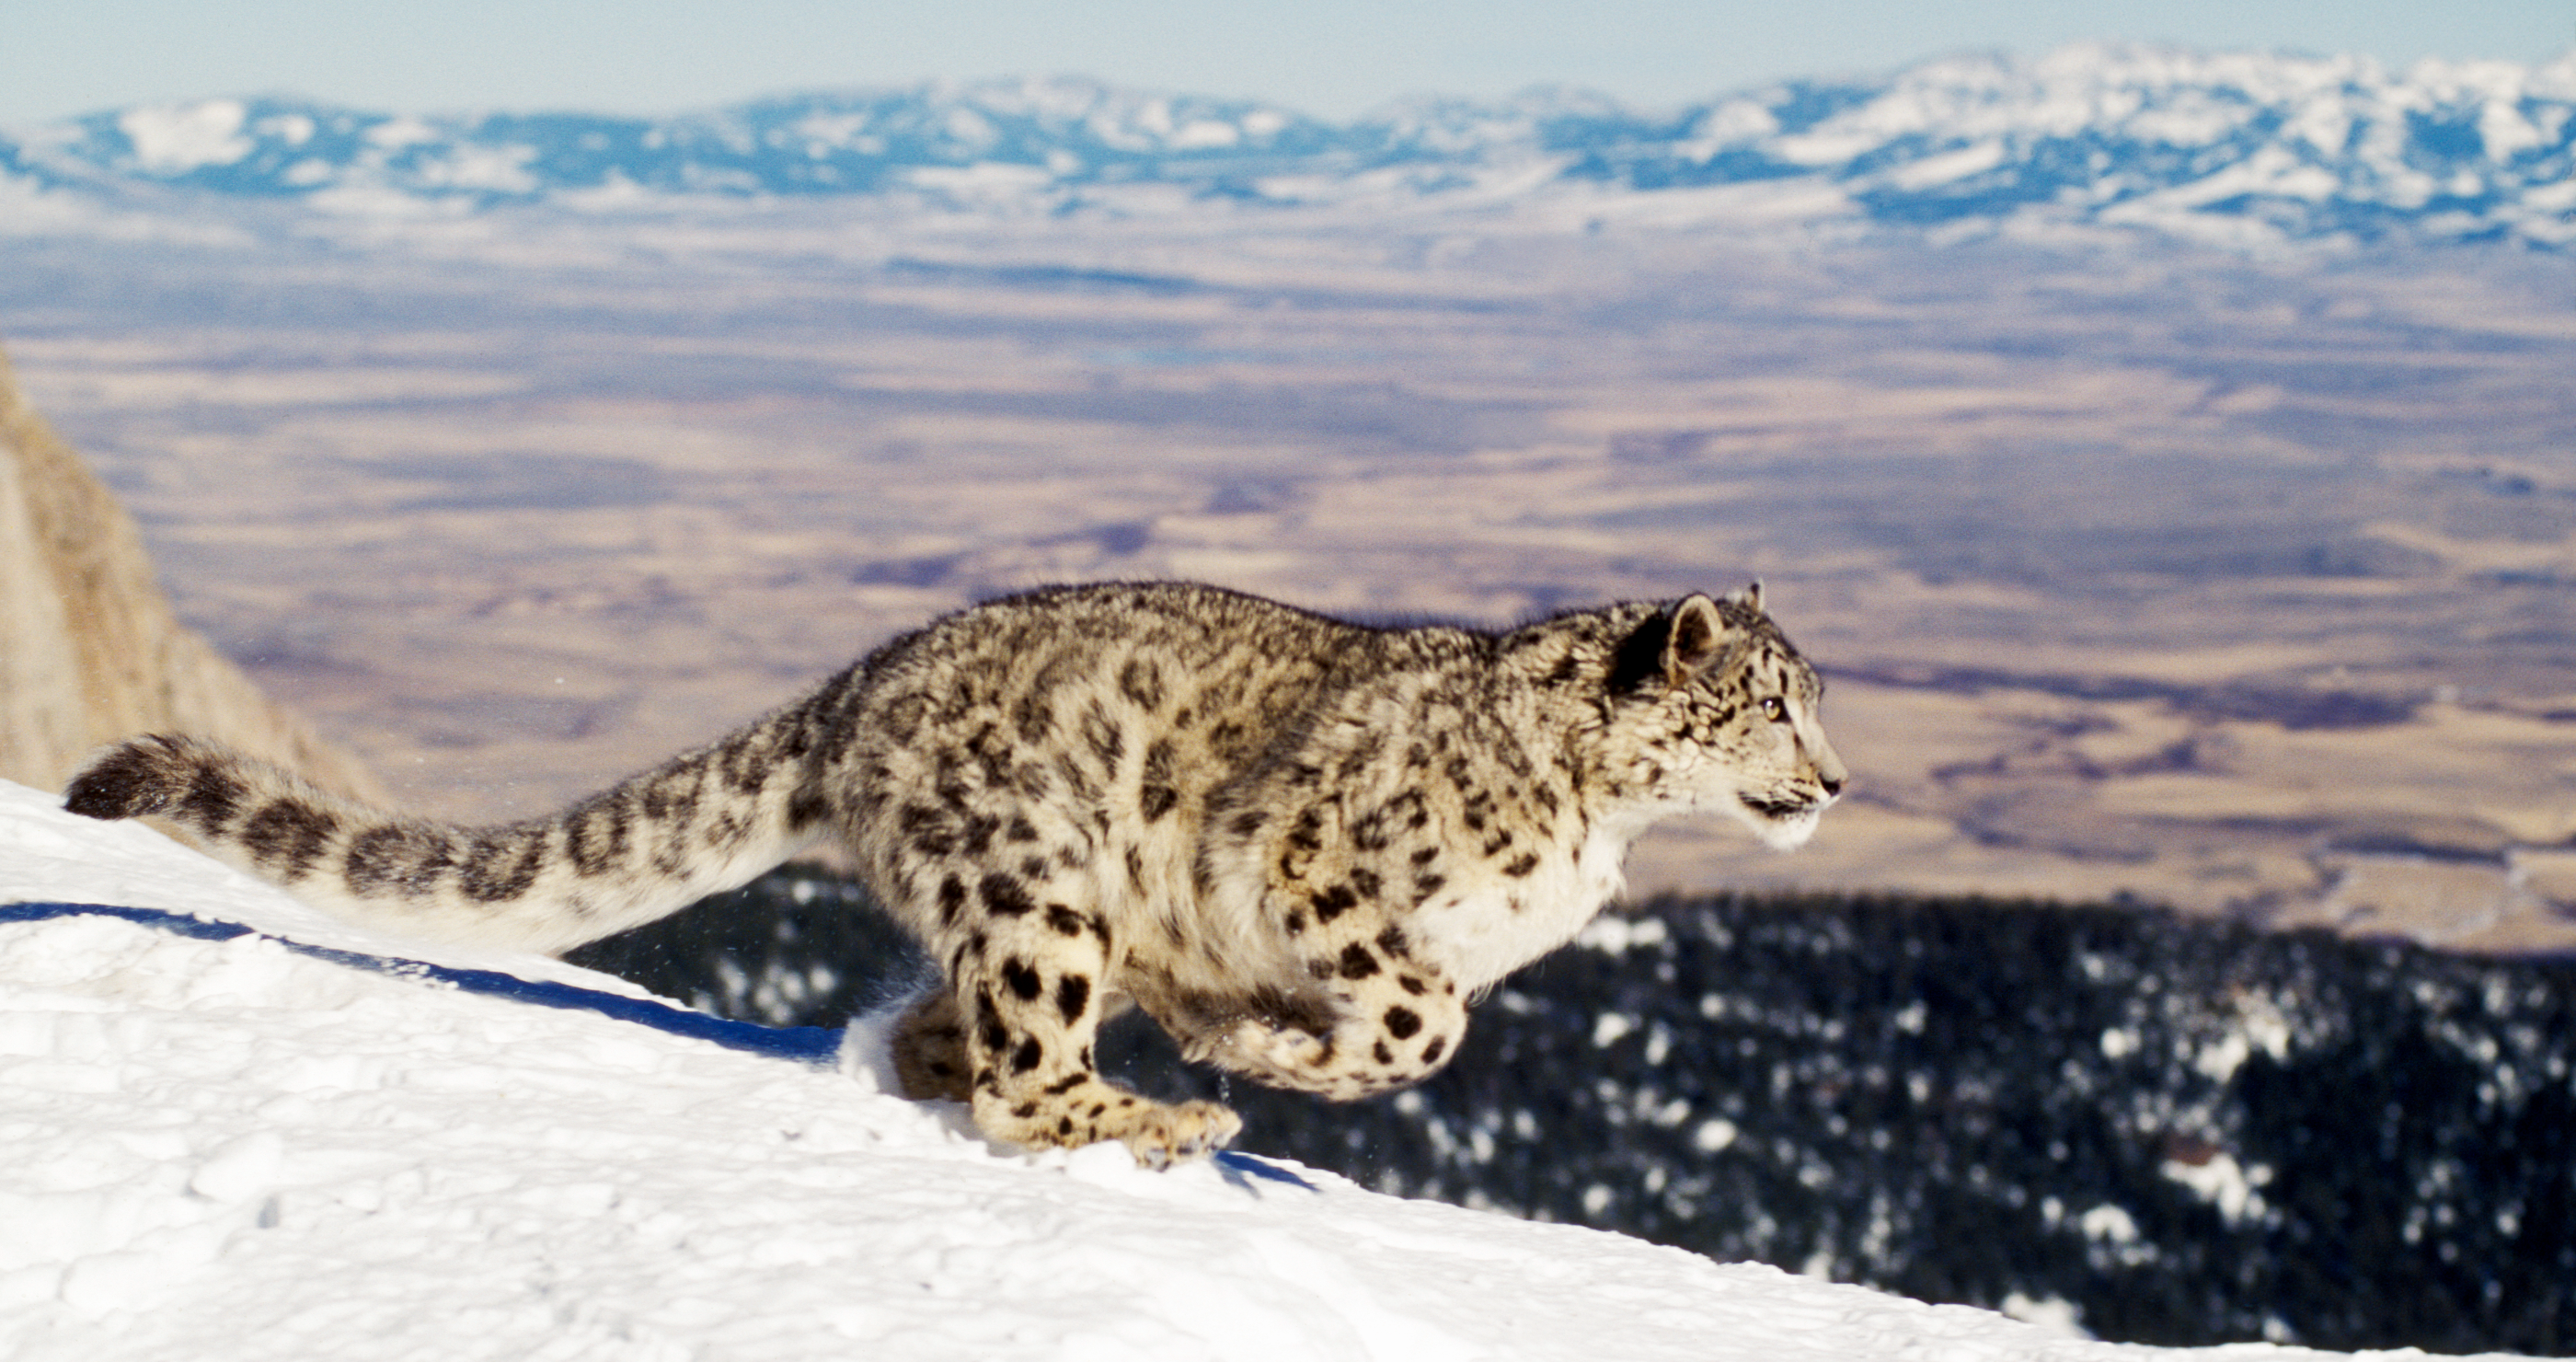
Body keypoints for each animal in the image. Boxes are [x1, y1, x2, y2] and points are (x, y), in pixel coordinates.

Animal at [70, 579, 1844, 1163]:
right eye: (1771, 702)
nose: (1835, 780)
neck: (1603, 836)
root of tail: (860, 686)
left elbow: (1420, 1022)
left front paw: (1246, 1031)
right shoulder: (1317, 857)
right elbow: (1420, 1021)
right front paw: (1274, 1054)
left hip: (1035, 908)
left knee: (954, 1038)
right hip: (1040, 885)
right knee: (1022, 1078)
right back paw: (1166, 1117)